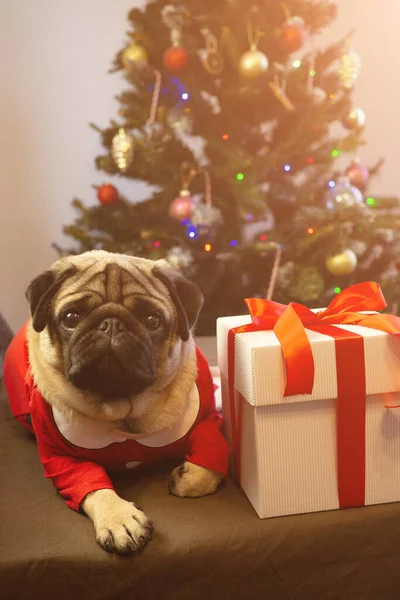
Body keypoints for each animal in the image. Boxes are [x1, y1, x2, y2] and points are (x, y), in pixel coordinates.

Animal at [3, 248, 230, 552]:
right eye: (71, 317)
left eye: (152, 321)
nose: (111, 324)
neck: (123, 411)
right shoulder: (61, 458)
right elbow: (92, 484)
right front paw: (118, 517)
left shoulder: (206, 420)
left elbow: (208, 461)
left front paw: (187, 477)